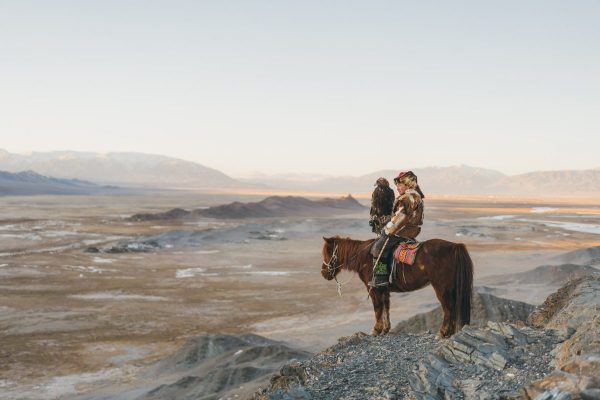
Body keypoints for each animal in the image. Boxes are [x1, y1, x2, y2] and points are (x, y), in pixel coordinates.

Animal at [322, 236, 472, 340]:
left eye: (327, 253)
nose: (323, 273)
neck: (364, 256)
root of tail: (454, 246)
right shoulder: (384, 289)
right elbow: (386, 308)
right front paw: (385, 329)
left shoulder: (374, 289)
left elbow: (377, 308)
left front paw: (376, 330)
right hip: (451, 287)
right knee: (453, 308)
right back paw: (449, 333)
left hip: (441, 287)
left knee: (448, 309)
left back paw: (441, 333)